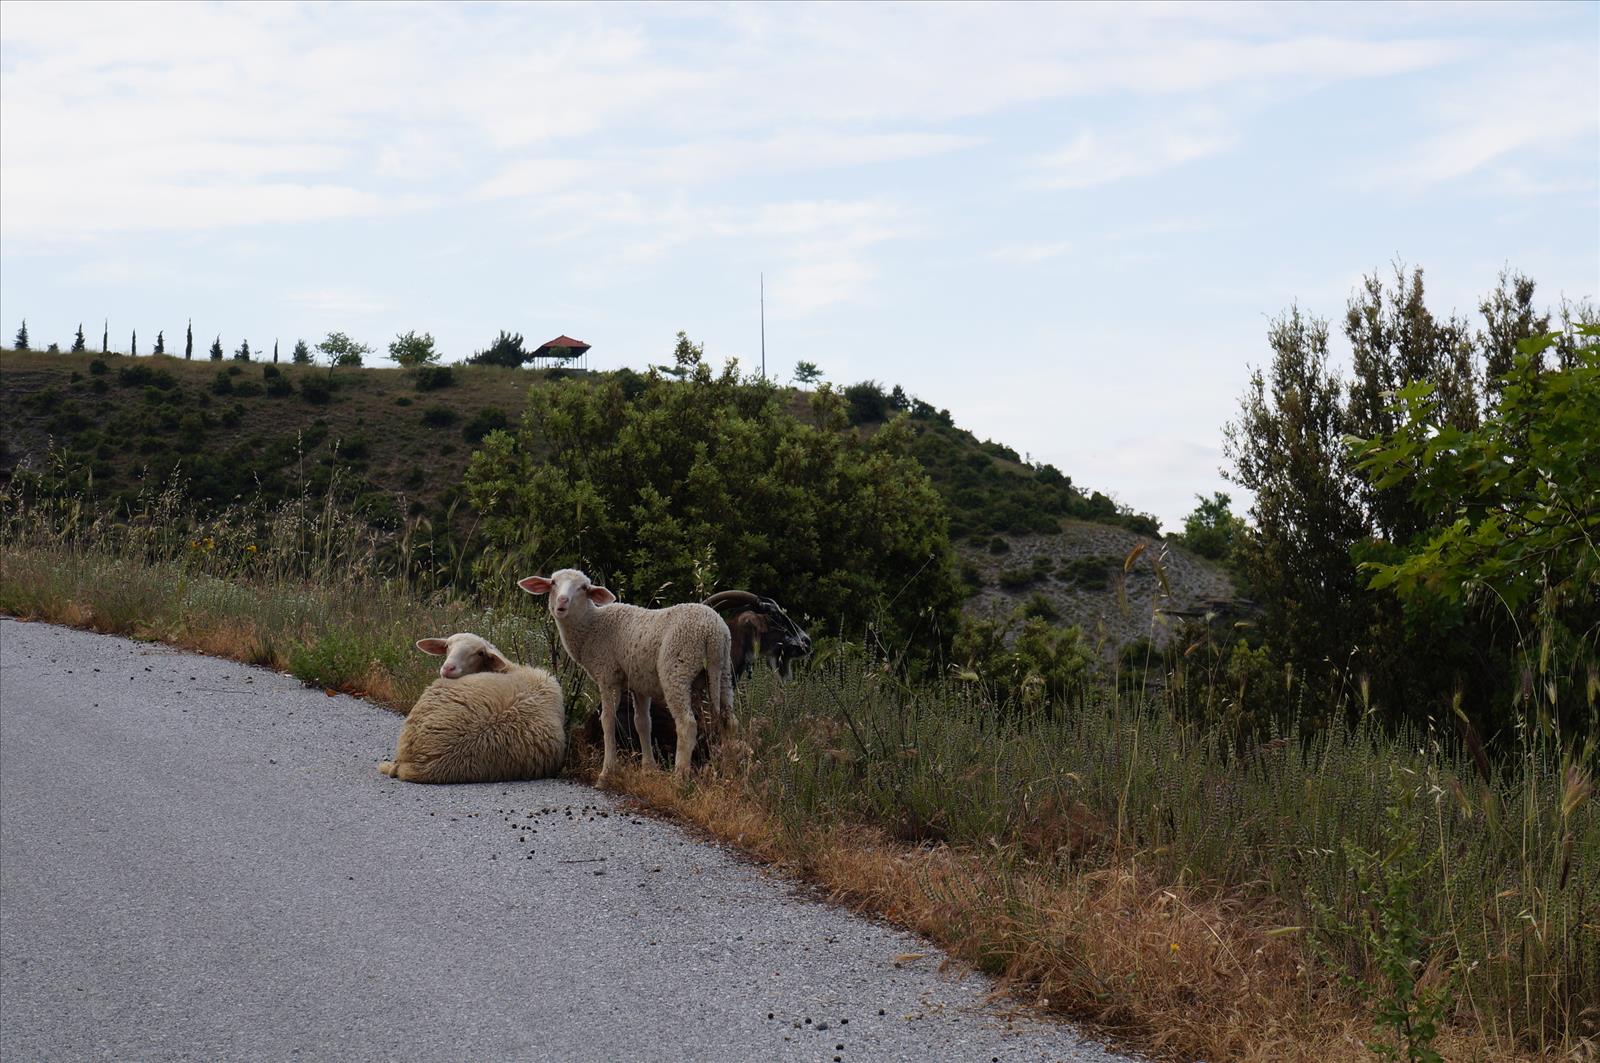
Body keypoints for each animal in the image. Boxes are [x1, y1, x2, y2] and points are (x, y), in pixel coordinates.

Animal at [518, 569, 732, 784]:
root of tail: (712, 631)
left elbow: (607, 720)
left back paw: (679, 776)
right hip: (723, 671)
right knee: (729, 721)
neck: (590, 627)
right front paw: (648, 769)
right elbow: (642, 723)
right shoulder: (639, 683)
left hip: (677, 668)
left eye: (584, 588)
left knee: (687, 724)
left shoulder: (607, 675)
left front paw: (607, 772)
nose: (562, 601)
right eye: (553, 583)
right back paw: (731, 769)